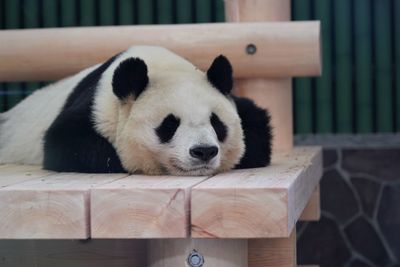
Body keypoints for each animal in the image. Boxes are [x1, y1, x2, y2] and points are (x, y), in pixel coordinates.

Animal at [0, 46, 272, 176]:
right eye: (169, 125)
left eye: (217, 123)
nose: (204, 151)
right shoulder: (96, 106)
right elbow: (64, 141)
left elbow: (258, 128)